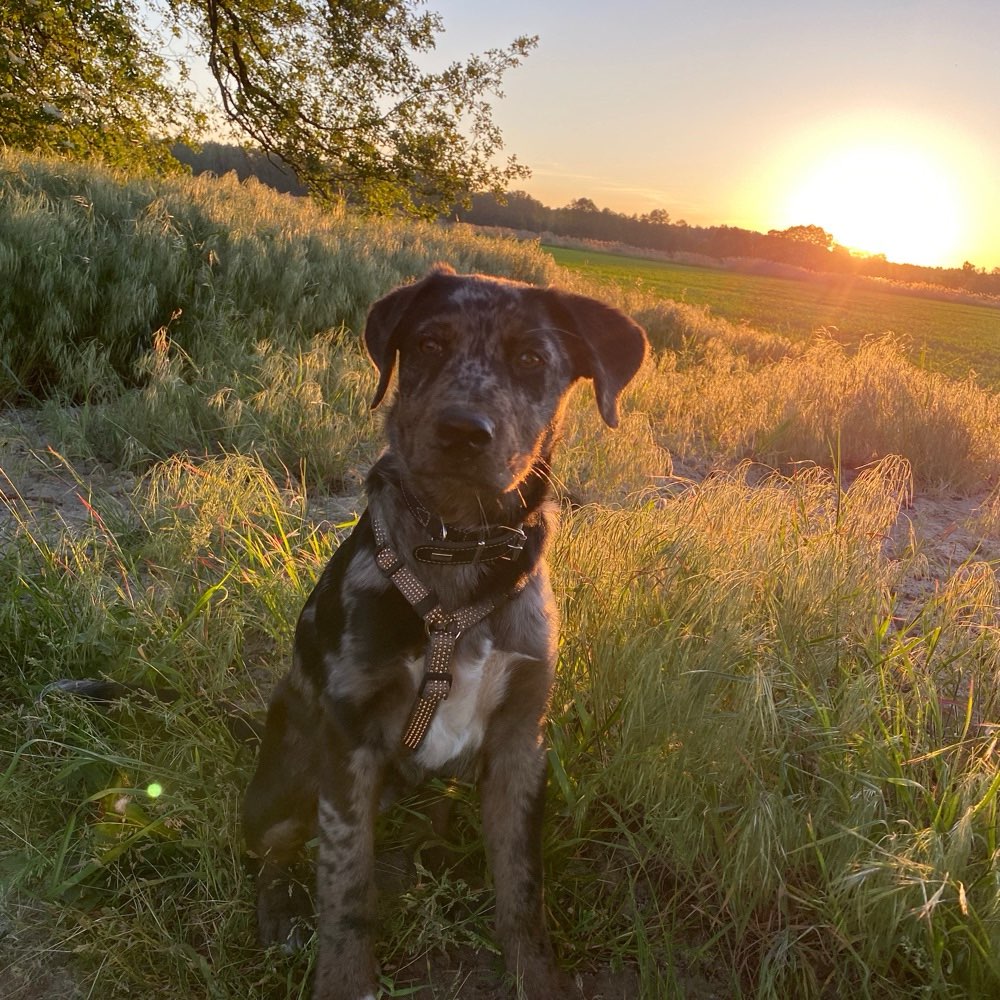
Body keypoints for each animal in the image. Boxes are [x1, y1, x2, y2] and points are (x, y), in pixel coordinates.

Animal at [242, 262, 648, 996]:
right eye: (429, 344)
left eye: (531, 359)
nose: (463, 431)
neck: (459, 546)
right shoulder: (351, 741)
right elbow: (345, 884)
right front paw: (344, 977)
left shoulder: (521, 741)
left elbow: (522, 886)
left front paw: (534, 975)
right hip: (284, 781)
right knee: (273, 850)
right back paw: (279, 917)